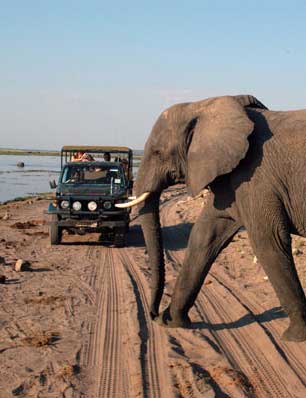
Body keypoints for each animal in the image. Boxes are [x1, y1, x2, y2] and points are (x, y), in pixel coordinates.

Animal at [117, 94, 306, 342]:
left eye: (157, 152)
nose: (153, 315)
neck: (203, 105)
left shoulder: (256, 177)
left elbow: (269, 240)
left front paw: (295, 336)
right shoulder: (231, 178)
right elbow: (204, 236)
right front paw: (172, 322)